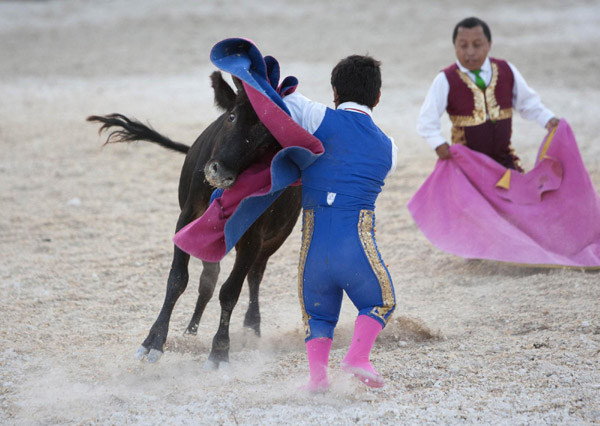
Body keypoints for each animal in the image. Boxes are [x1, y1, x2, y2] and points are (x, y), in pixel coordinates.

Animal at [86, 71, 302, 368]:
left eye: (267, 140)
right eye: (232, 117)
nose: (220, 172)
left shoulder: (253, 237)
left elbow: (231, 291)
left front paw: (220, 350)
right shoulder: (188, 219)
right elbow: (178, 278)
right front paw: (154, 341)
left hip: (276, 237)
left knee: (254, 276)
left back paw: (252, 327)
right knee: (208, 279)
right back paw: (190, 331)